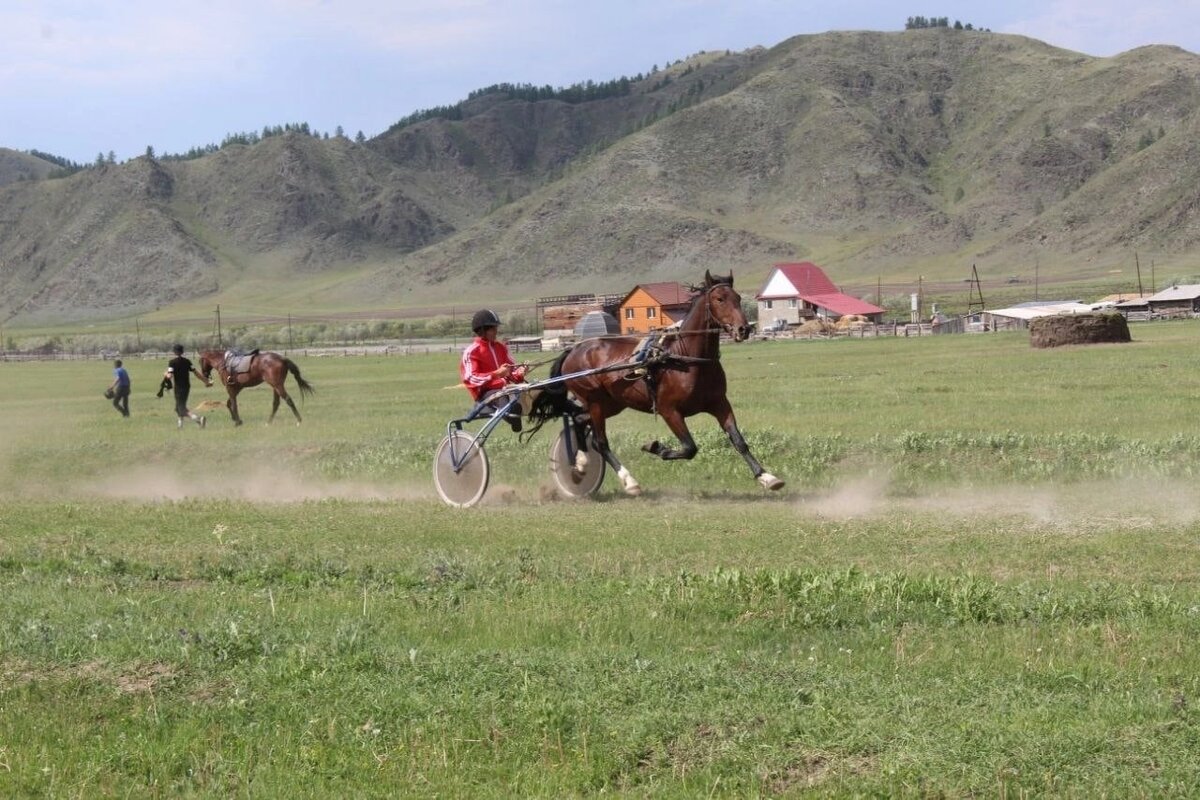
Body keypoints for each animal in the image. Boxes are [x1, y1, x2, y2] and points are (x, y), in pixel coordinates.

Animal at [554, 271, 782, 494]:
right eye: (719, 299)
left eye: (738, 298)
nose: (743, 329)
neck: (687, 359)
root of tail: (574, 350)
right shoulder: (669, 410)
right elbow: (690, 448)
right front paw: (656, 448)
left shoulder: (719, 403)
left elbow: (738, 441)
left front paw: (766, 477)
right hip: (595, 402)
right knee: (600, 442)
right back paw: (628, 481)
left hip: (612, 403)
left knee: (580, 419)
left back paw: (580, 464)